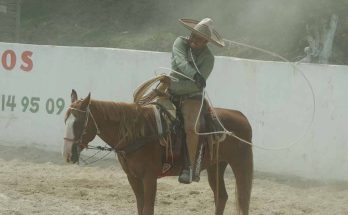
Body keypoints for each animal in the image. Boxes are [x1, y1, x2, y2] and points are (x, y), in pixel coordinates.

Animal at [62, 89, 253, 215]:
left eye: (78, 122)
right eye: (65, 120)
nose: (68, 155)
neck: (139, 133)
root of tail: (241, 116)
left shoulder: (149, 177)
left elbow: (148, 209)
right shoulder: (133, 177)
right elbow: (140, 207)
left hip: (241, 165)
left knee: (243, 199)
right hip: (216, 166)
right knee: (221, 197)